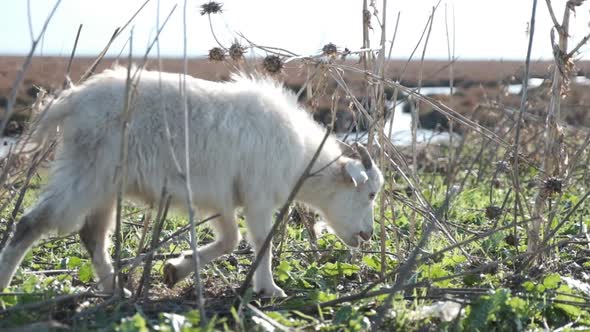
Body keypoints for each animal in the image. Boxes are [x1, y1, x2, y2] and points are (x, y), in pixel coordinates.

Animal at [0, 67, 386, 298]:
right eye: (369, 194)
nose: (367, 235)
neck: (301, 154)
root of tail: (71, 100)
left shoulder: (221, 198)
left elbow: (230, 241)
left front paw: (175, 269)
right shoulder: (257, 196)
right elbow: (261, 241)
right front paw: (269, 289)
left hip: (104, 185)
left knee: (91, 236)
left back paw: (117, 290)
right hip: (85, 174)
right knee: (32, 223)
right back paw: (6, 285)